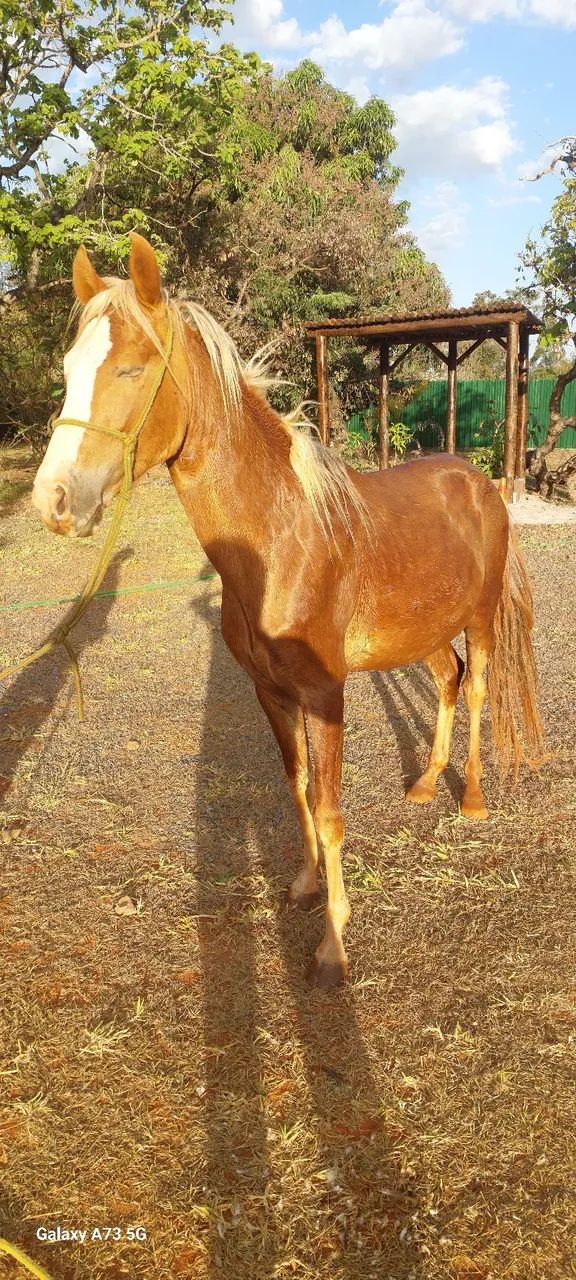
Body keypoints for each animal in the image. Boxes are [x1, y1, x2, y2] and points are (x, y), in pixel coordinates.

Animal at [31, 232, 545, 987]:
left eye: (130, 368)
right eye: (68, 368)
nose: (54, 501)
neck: (280, 539)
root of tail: (480, 481)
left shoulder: (325, 694)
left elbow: (329, 809)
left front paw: (333, 942)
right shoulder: (272, 692)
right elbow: (298, 788)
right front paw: (304, 886)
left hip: (478, 621)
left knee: (476, 689)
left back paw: (472, 800)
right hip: (423, 630)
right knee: (448, 683)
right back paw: (425, 784)